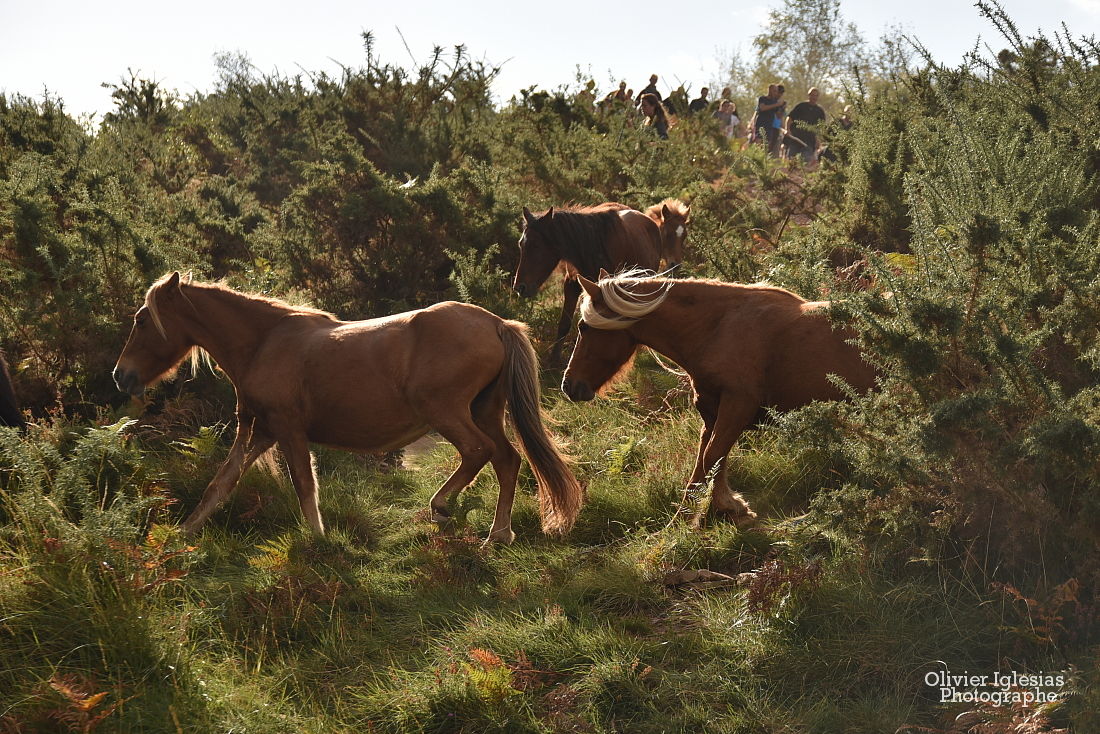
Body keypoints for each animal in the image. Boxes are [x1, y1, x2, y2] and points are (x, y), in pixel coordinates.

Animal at [113, 272, 585, 543]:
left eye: (141, 319)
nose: (121, 376)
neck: (265, 343)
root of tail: (496, 324)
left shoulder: (289, 431)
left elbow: (304, 485)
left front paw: (319, 540)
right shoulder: (259, 431)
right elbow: (220, 485)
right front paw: (184, 534)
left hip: (447, 413)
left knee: (480, 453)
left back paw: (445, 508)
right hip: (484, 411)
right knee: (507, 460)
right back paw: (498, 533)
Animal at [563, 269, 871, 528]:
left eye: (583, 327)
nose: (569, 386)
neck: (716, 328)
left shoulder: (738, 405)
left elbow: (712, 458)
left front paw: (728, 507)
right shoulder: (711, 413)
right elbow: (704, 466)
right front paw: (684, 521)